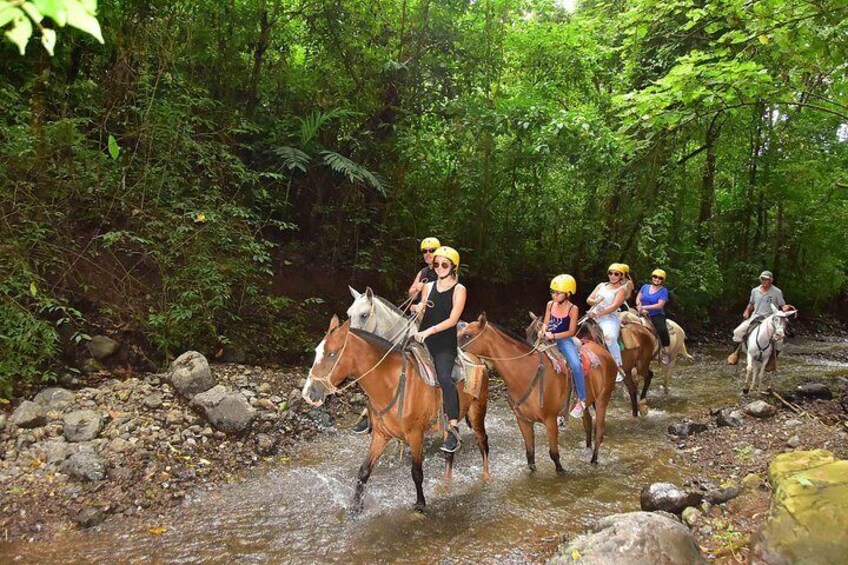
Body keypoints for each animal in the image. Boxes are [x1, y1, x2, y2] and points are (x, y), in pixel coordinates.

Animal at [304, 316, 490, 512]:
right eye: (316, 351)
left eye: (332, 354)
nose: (309, 394)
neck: (392, 384)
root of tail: (478, 360)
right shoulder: (381, 435)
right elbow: (364, 470)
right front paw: (356, 506)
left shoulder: (415, 435)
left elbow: (416, 472)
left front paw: (420, 505)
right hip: (447, 424)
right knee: (450, 451)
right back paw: (446, 484)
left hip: (477, 412)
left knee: (482, 441)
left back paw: (486, 477)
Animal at [458, 312, 616, 468]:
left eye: (467, 335)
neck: (526, 373)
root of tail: (603, 351)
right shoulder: (523, 421)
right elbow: (530, 456)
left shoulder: (550, 420)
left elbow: (554, 455)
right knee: (588, 422)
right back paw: (587, 448)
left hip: (602, 400)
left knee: (599, 431)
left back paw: (594, 459)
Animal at [524, 312, 656, 418]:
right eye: (527, 332)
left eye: (537, 335)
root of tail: (644, 329)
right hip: (628, 370)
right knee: (632, 388)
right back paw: (635, 413)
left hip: (641, 364)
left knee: (648, 375)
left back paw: (642, 401)